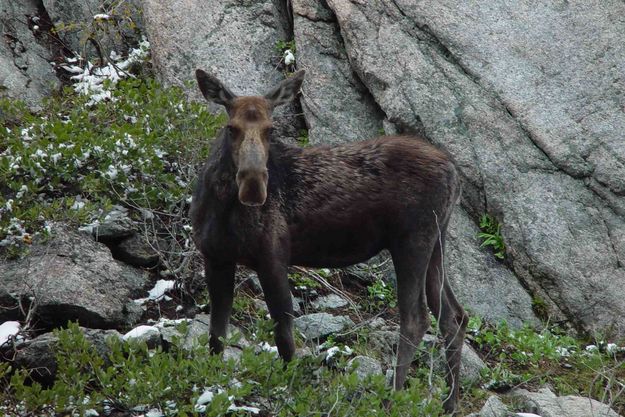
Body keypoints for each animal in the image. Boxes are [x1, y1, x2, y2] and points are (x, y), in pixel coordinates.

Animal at [190, 69, 468, 412]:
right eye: (232, 128)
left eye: (271, 129)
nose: (254, 184)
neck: (220, 207)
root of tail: (454, 172)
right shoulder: (215, 257)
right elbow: (216, 333)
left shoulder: (273, 256)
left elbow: (283, 331)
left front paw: (291, 387)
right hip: (436, 242)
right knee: (453, 317)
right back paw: (449, 404)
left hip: (412, 239)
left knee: (416, 318)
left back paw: (392, 397)